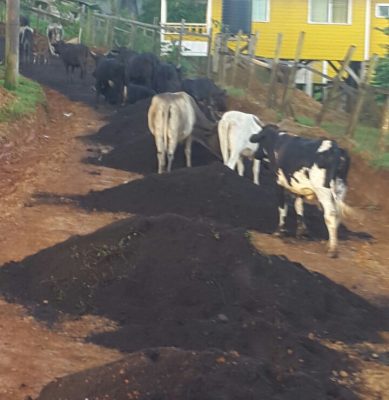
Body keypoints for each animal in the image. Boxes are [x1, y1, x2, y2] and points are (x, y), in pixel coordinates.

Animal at [249, 123, 352, 258]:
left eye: (259, 141)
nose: (255, 154)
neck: (276, 141)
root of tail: (336, 149)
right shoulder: (298, 187)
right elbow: (299, 206)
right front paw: (302, 231)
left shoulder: (279, 183)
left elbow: (282, 207)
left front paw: (279, 231)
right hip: (340, 189)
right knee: (338, 215)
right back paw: (329, 244)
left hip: (323, 191)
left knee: (330, 214)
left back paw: (333, 250)